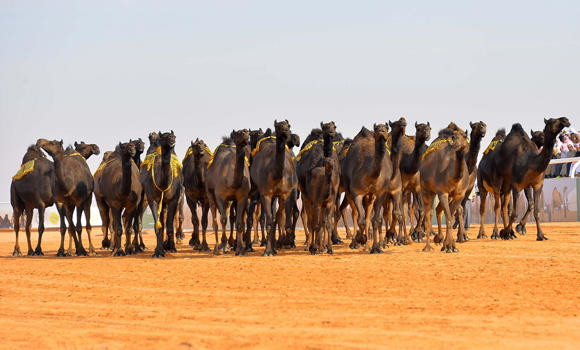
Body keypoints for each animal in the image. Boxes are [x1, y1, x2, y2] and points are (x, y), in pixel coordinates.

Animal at [251, 121, 300, 256]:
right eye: (278, 126)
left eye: (288, 126)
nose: (285, 131)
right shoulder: (265, 194)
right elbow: (268, 222)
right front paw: (268, 251)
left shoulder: (286, 193)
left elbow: (286, 222)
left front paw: (287, 242)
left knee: (278, 216)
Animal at [296, 121, 342, 253]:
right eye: (325, 127)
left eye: (334, 126)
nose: (331, 132)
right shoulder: (314, 199)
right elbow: (315, 222)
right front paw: (315, 247)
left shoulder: (331, 199)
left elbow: (325, 222)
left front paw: (325, 247)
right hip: (305, 195)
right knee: (308, 218)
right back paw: (309, 245)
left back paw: (321, 245)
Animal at [340, 122, 394, 252]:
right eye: (377, 128)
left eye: (386, 128)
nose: (381, 131)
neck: (371, 174)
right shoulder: (357, 193)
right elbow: (361, 220)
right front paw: (360, 239)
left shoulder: (380, 193)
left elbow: (376, 220)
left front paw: (376, 247)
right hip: (348, 190)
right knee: (355, 214)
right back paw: (355, 242)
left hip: (370, 196)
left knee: (369, 215)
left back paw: (369, 244)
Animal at [420, 122, 468, 252]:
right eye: (454, 137)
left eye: (464, 136)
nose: (456, 144)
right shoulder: (443, 192)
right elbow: (449, 217)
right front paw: (449, 246)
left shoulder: (459, 195)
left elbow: (450, 216)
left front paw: (449, 245)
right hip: (426, 190)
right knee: (428, 214)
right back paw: (428, 247)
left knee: (438, 210)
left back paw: (439, 239)